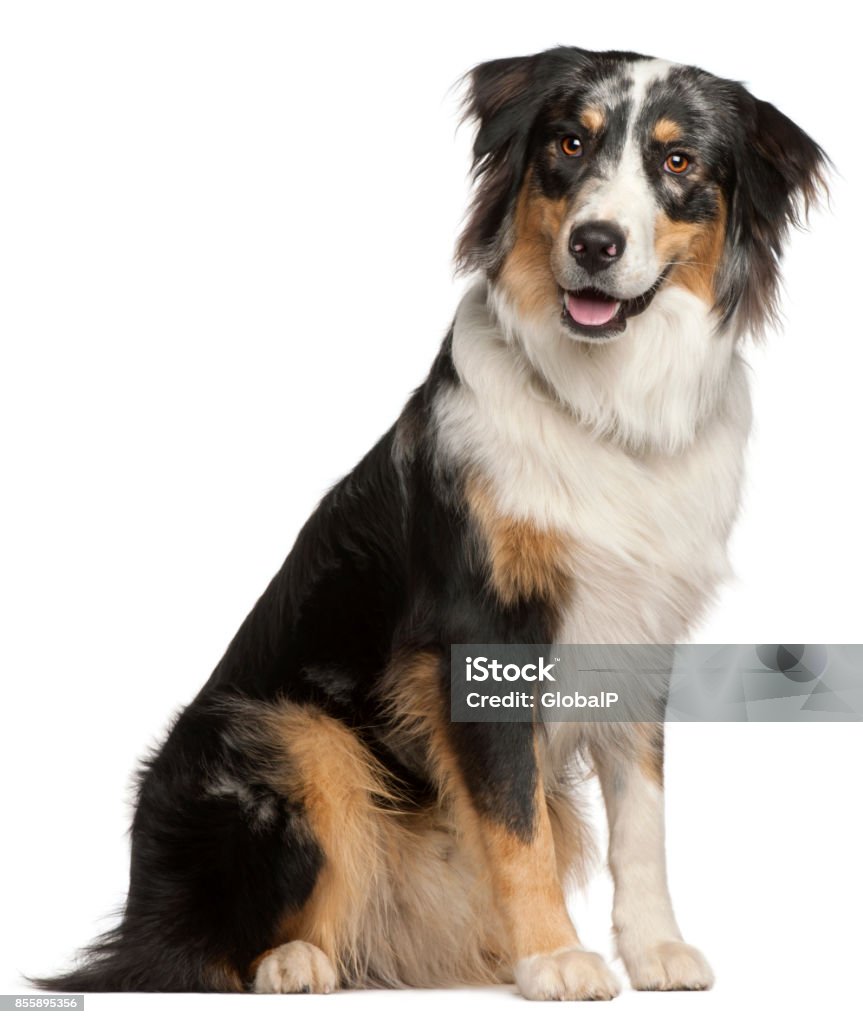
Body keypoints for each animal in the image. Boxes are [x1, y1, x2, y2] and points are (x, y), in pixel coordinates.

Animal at [35, 48, 831, 999]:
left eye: (678, 162)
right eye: (569, 144)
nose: (594, 244)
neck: (604, 404)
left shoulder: (640, 631)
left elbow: (643, 812)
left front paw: (652, 948)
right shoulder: (476, 628)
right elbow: (513, 817)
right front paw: (552, 955)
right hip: (287, 734)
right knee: (194, 947)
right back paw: (292, 962)